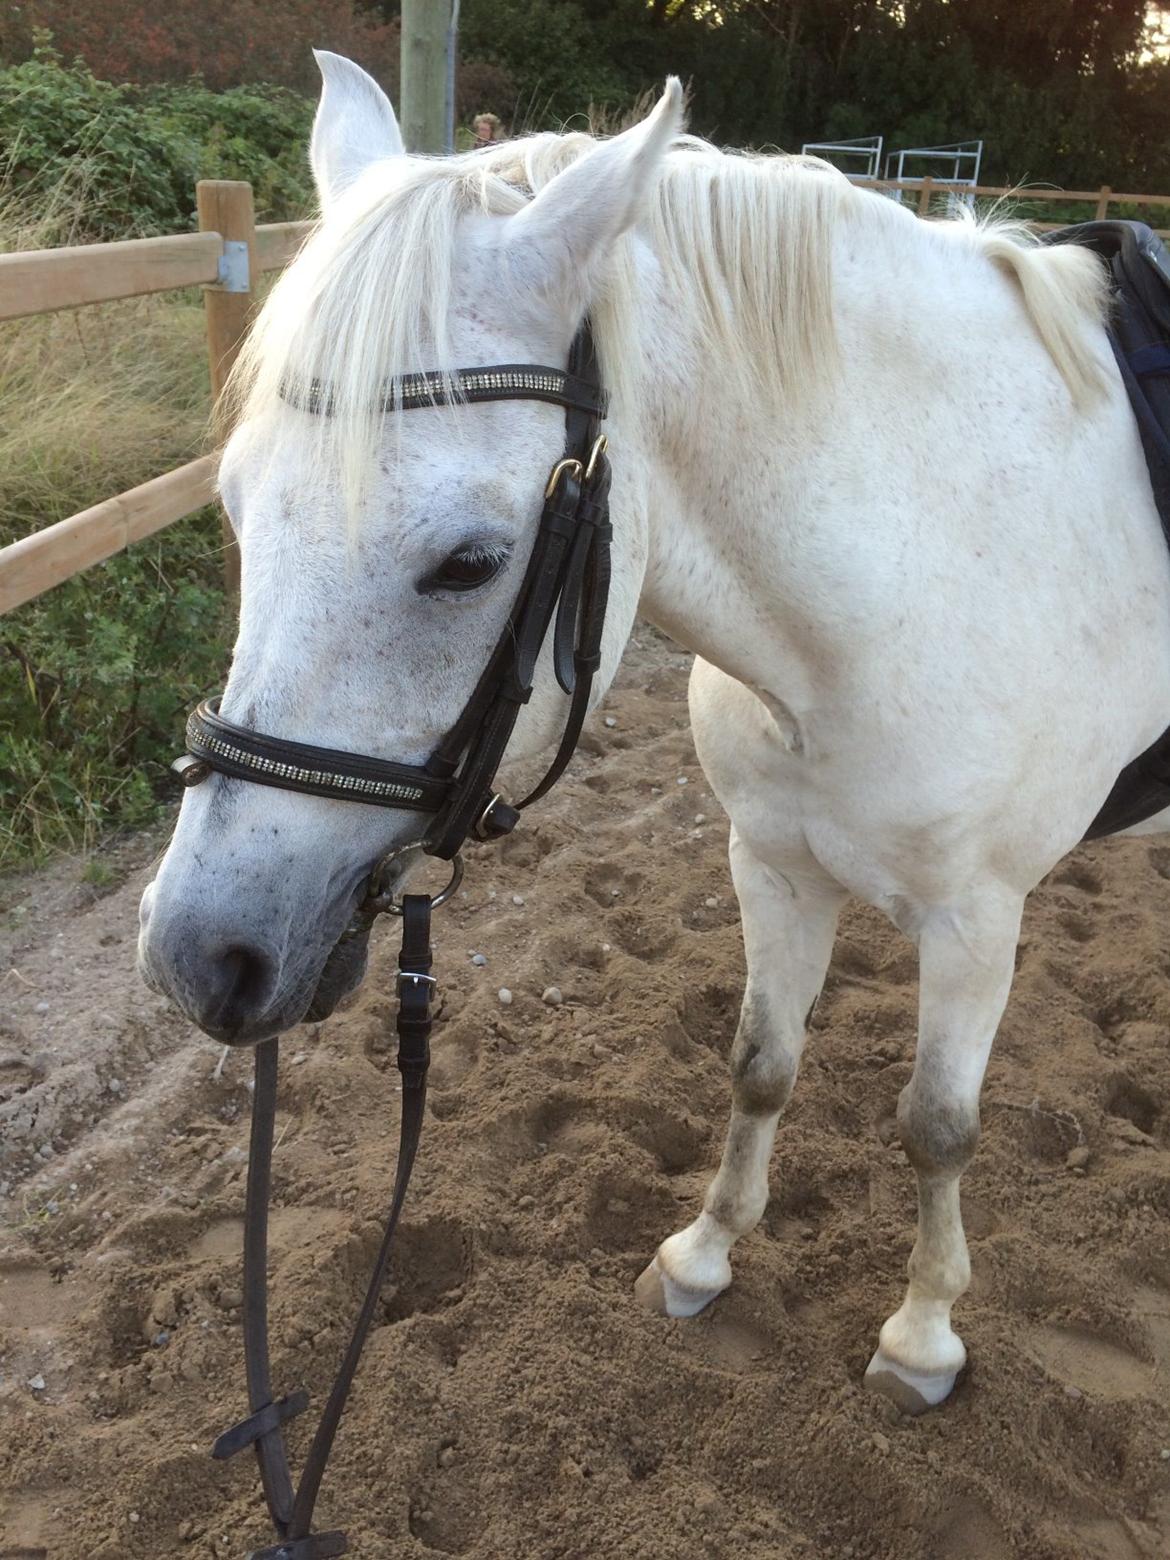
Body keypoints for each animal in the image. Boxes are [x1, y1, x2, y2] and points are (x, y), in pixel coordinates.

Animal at [138, 51, 1170, 1416]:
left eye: (469, 563)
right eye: (238, 510)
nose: (199, 957)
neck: (930, 563)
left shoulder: (976, 919)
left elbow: (938, 1127)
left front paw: (922, 1337)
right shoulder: (773, 864)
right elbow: (758, 1061)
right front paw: (703, 1257)